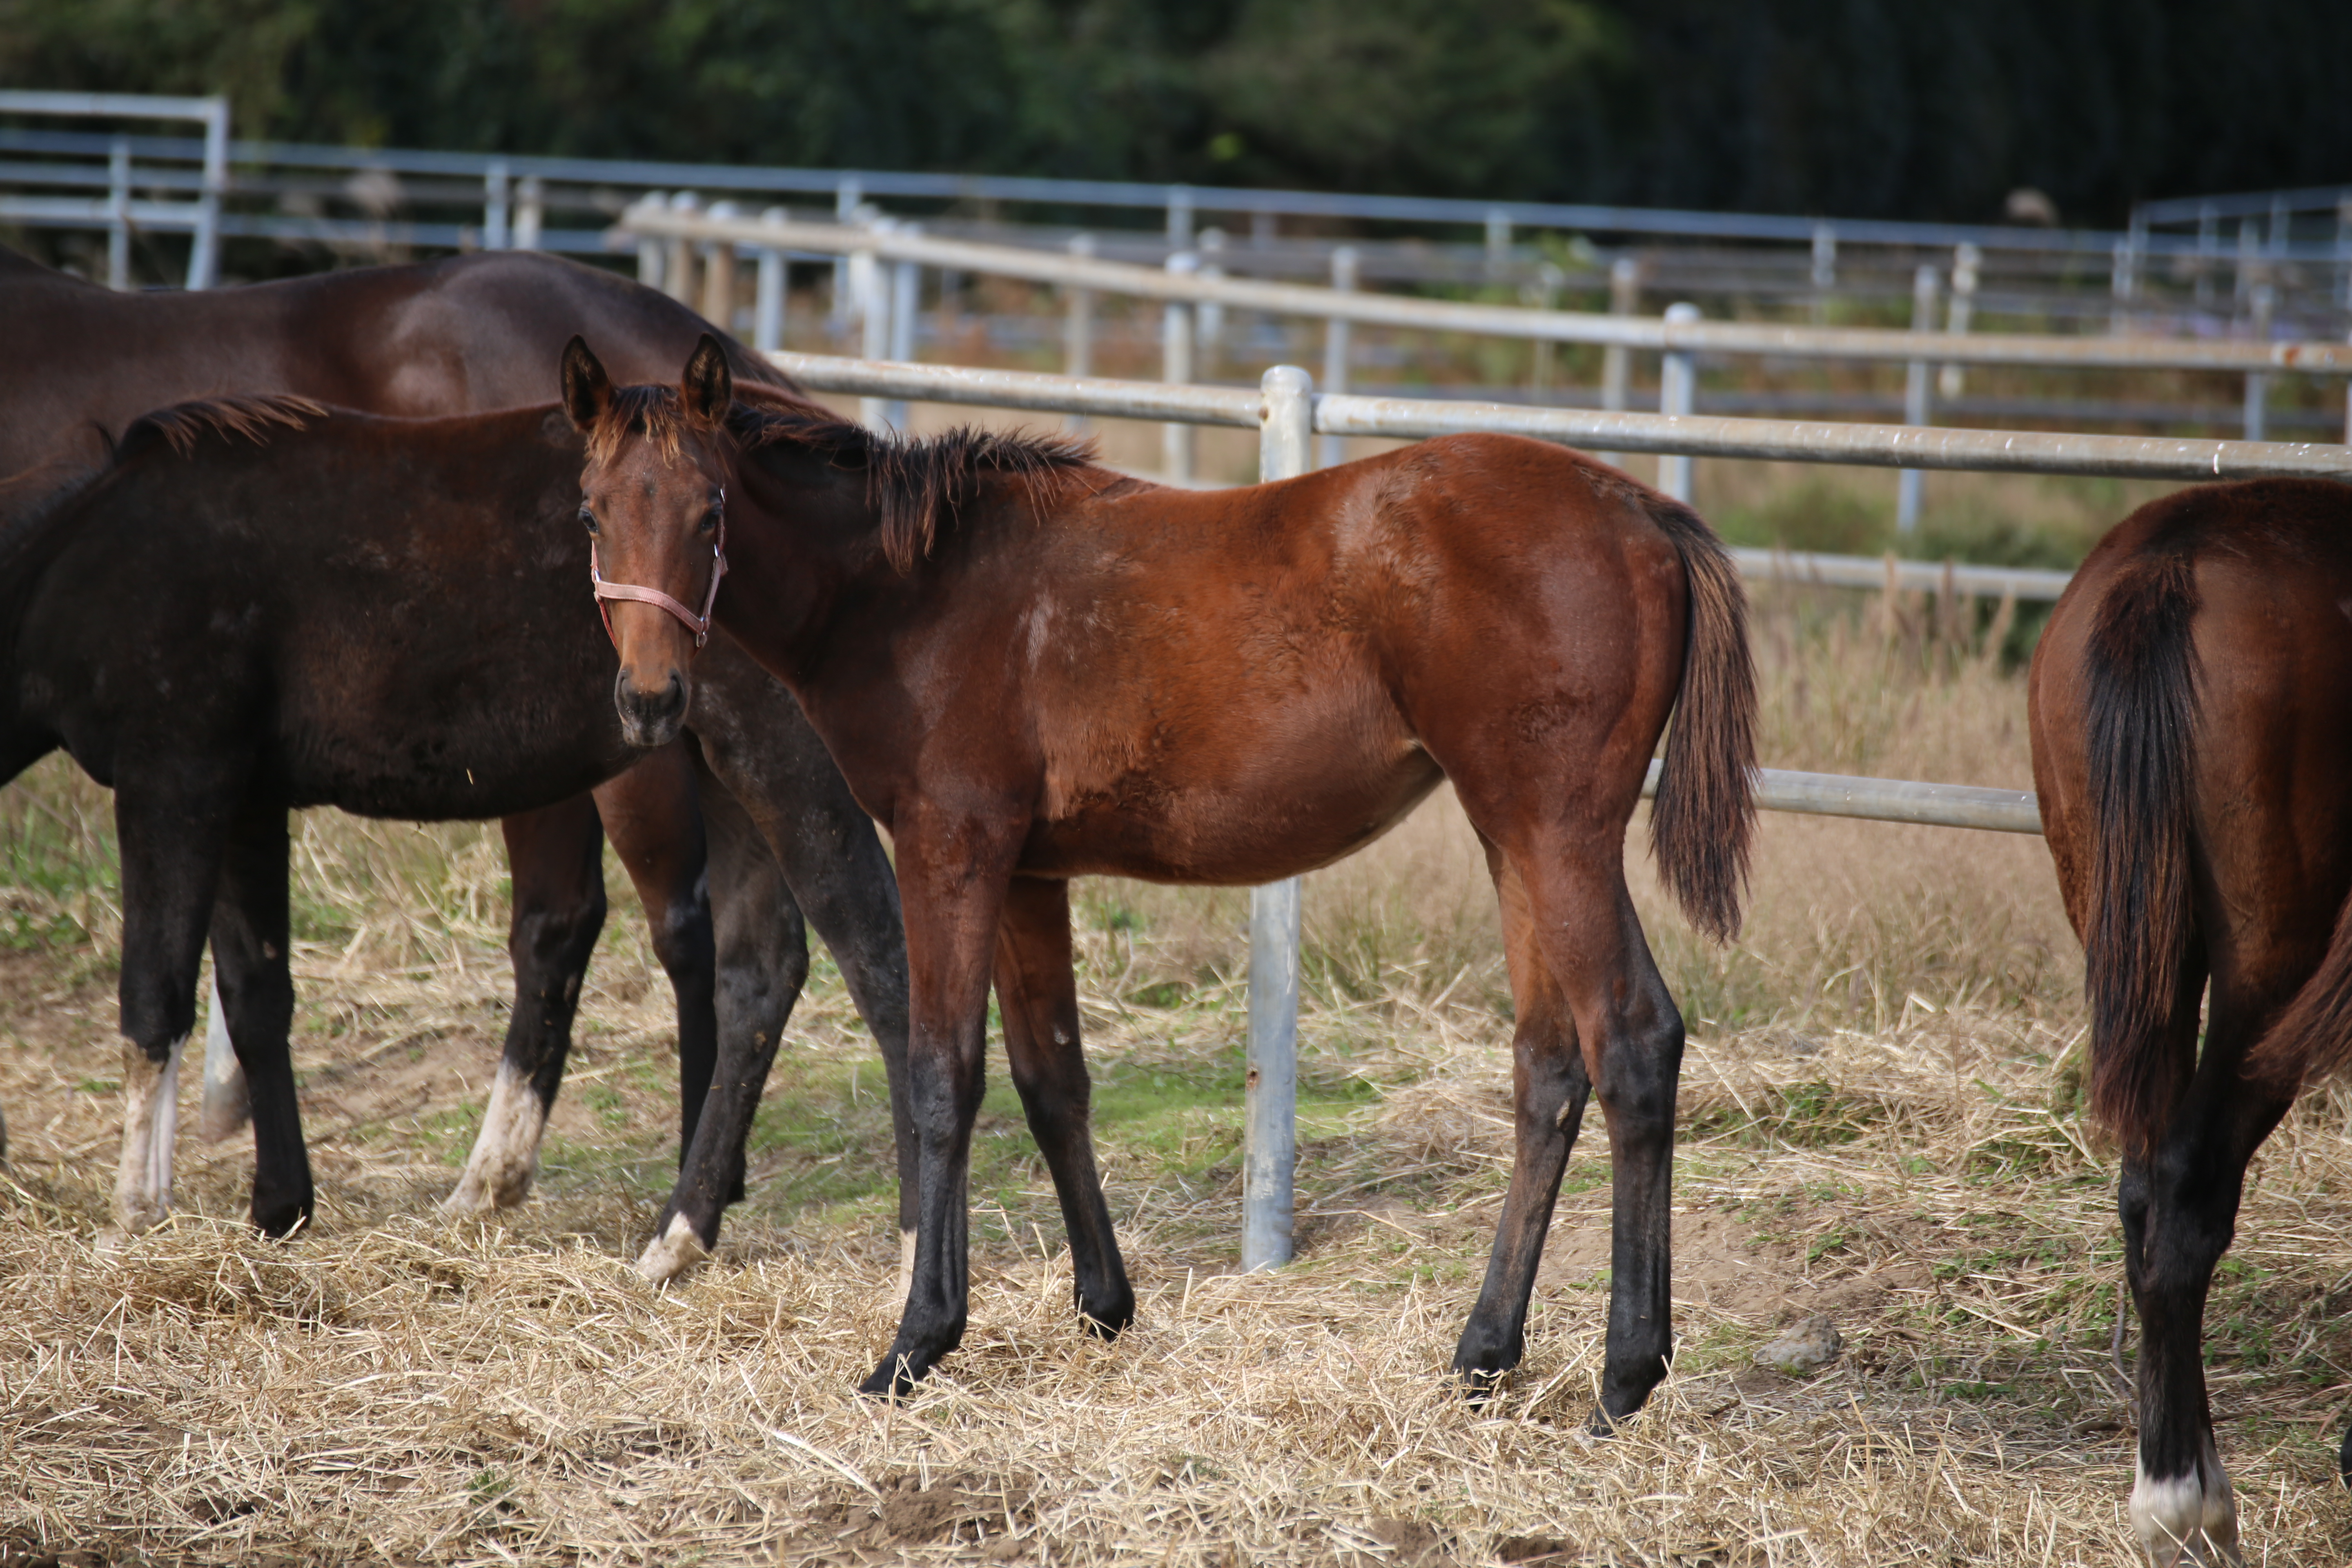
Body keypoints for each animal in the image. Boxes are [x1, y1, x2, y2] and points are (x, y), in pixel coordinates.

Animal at [0, 248, 912, 1278]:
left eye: (711, 514)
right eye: (588, 516)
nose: (646, 690)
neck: (96, 548)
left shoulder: (174, 778)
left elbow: (154, 991)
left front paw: (135, 1215)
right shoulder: (244, 796)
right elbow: (255, 987)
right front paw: (278, 1203)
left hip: (756, 769)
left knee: (863, 954)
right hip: (710, 770)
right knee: (754, 960)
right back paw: (676, 1227)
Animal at [559, 341, 1759, 1410]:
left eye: (711, 512)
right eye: (591, 515)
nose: (651, 702)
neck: (913, 592)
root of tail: (1639, 509)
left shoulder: (952, 850)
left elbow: (944, 1076)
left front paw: (916, 1343)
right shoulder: (1028, 874)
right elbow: (1052, 1079)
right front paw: (1102, 1305)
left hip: (1558, 834)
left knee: (1632, 1041)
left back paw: (1624, 1371)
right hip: (1509, 837)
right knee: (1548, 1068)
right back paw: (1480, 1356)